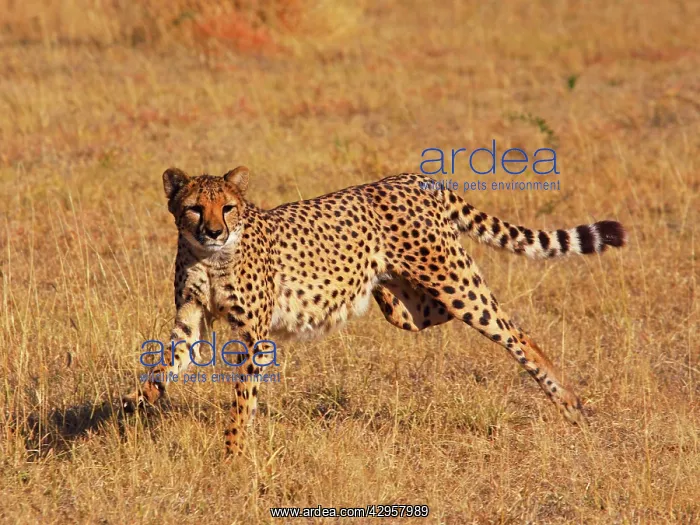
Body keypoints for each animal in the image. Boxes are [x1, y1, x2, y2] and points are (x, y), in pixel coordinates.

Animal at [123, 166, 626, 455]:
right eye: (194, 208)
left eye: (227, 207)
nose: (213, 231)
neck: (210, 257)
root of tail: (413, 178)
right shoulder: (191, 320)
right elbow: (164, 363)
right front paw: (137, 401)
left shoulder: (253, 336)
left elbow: (242, 399)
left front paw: (232, 455)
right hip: (410, 307)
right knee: (427, 313)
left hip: (456, 284)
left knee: (517, 334)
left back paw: (569, 404)